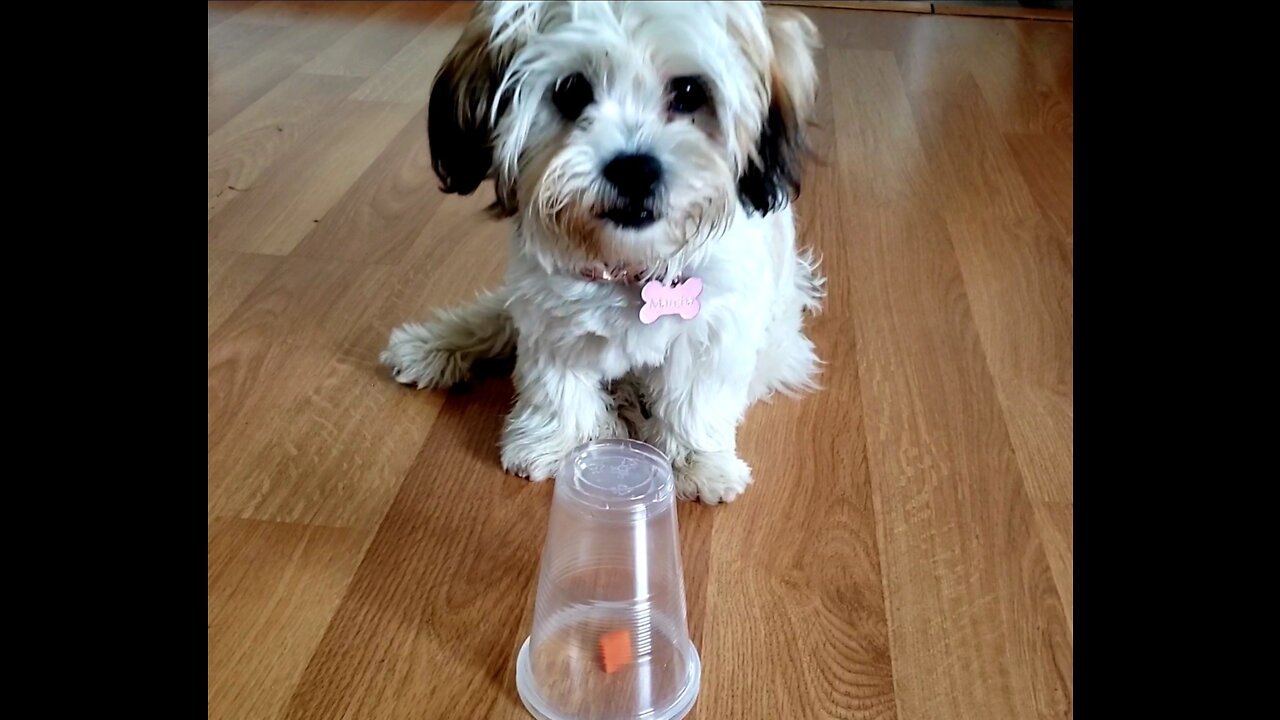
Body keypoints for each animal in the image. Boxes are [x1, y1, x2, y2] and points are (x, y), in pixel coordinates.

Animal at [378, 0, 824, 502]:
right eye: (571, 90)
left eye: (690, 91)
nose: (634, 168)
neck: (630, 263)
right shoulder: (551, 315)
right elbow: (556, 383)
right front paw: (554, 439)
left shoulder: (714, 329)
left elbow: (694, 396)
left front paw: (698, 460)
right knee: (497, 319)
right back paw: (436, 345)